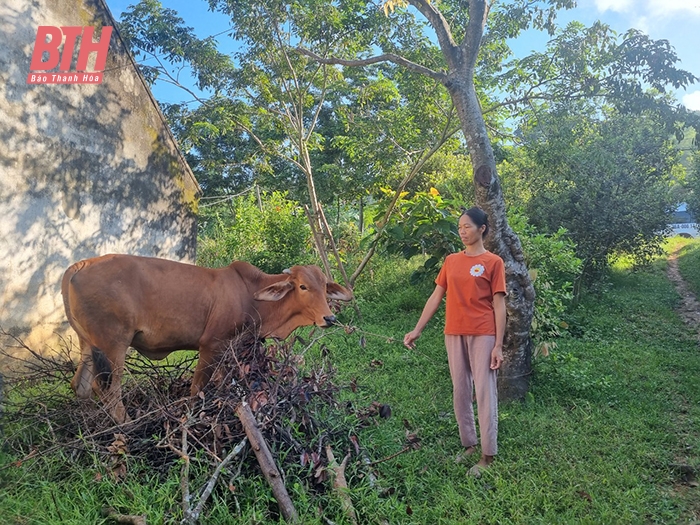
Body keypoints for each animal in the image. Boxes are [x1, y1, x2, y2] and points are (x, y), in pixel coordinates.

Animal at [62, 254, 352, 422]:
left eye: (325, 287)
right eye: (303, 286)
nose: (329, 318)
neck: (252, 295)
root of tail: (80, 264)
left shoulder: (231, 350)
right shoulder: (211, 346)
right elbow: (196, 389)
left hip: (88, 344)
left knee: (81, 385)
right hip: (114, 345)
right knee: (110, 392)